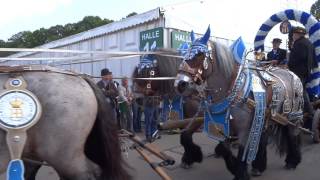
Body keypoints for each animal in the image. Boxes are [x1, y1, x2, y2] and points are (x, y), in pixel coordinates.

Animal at [175, 27, 302, 179]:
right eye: (185, 53)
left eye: (199, 54)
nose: (180, 84)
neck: (233, 89)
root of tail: (292, 74)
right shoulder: (220, 124)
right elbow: (222, 147)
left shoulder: (243, 129)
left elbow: (241, 152)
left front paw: (240, 173)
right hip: (267, 117)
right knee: (264, 138)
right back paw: (259, 166)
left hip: (292, 116)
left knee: (292, 135)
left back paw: (292, 161)